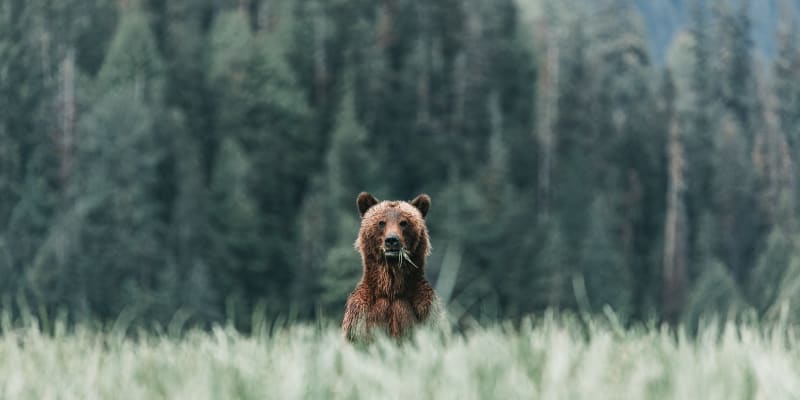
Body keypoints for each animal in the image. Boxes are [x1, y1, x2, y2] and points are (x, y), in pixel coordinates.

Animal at [342, 192, 441, 341]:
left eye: (404, 222)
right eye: (381, 222)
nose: (392, 240)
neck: (391, 289)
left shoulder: (425, 308)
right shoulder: (360, 313)